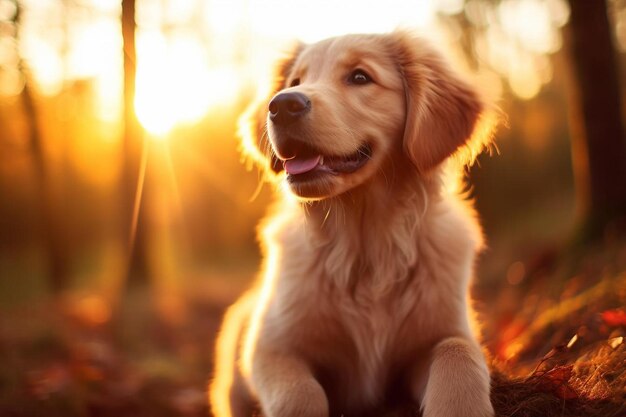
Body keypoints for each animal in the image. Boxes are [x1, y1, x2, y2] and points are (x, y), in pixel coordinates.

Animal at [211, 30, 498, 416]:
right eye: (295, 82)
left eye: (360, 77)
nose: (282, 105)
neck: (363, 246)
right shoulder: (270, 345)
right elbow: (300, 394)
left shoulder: (446, 328)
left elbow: (458, 351)